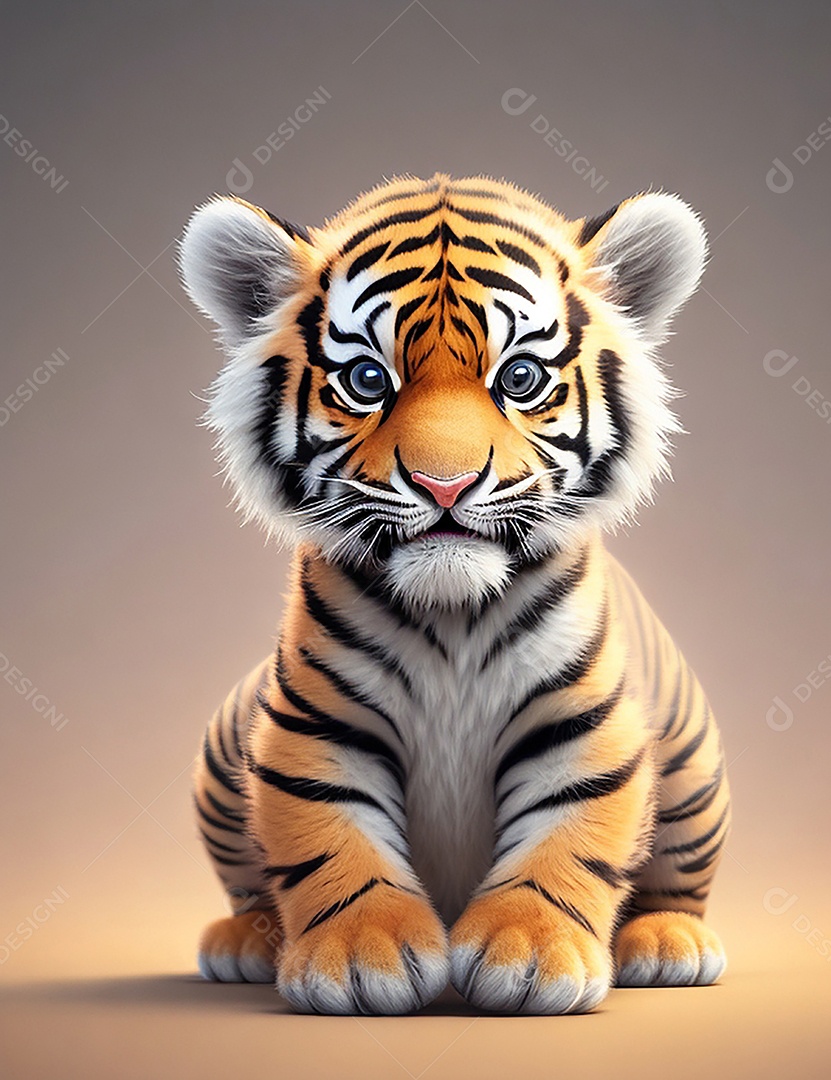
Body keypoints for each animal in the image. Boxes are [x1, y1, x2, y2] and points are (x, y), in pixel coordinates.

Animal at [179, 173, 731, 1015]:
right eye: (368, 381)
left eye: (519, 379)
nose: (445, 484)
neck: (452, 616)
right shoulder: (313, 722)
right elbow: (328, 837)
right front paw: (359, 955)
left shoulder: (582, 722)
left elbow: (568, 835)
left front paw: (528, 955)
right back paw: (247, 940)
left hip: (695, 769)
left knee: (677, 878)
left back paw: (670, 941)